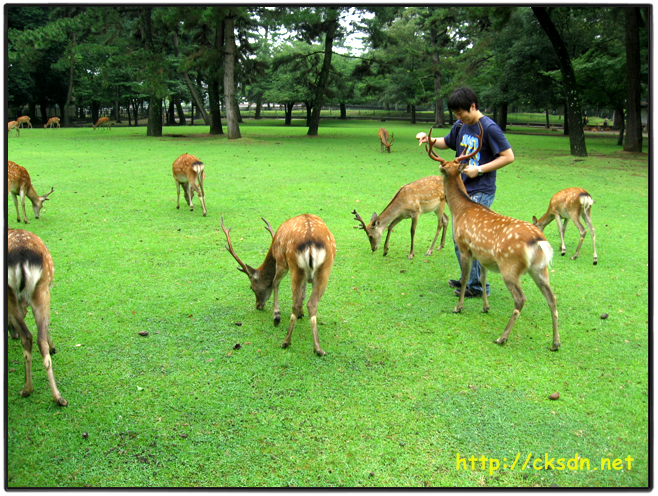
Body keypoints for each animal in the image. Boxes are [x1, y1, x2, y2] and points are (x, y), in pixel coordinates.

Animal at [7, 229, 67, 406]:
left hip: (25, 292)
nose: (12, 334)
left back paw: (30, 389)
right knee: (34, 338)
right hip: (41, 290)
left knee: (31, 337)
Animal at [222, 214, 336, 356]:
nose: (258, 306)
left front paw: (276, 315)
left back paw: (286, 341)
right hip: (325, 269)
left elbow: (274, 283)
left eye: (252, 288)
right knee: (311, 303)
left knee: (295, 302)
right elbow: (303, 293)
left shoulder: (281, 260)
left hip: (294, 265)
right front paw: (301, 313)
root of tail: (311, 243)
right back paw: (318, 348)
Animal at [418, 121, 556, 350]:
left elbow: (466, 278)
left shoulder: (465, 247)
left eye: (442, 172)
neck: (461, 209)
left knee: (521, 299)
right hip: (540, 269)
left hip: (510, 267)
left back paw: (502, 337)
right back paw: (555, 343)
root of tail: (539, 242)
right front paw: (485, 307)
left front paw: (459, 306)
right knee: (552, 297)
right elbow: (482, 278)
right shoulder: (482, 254)